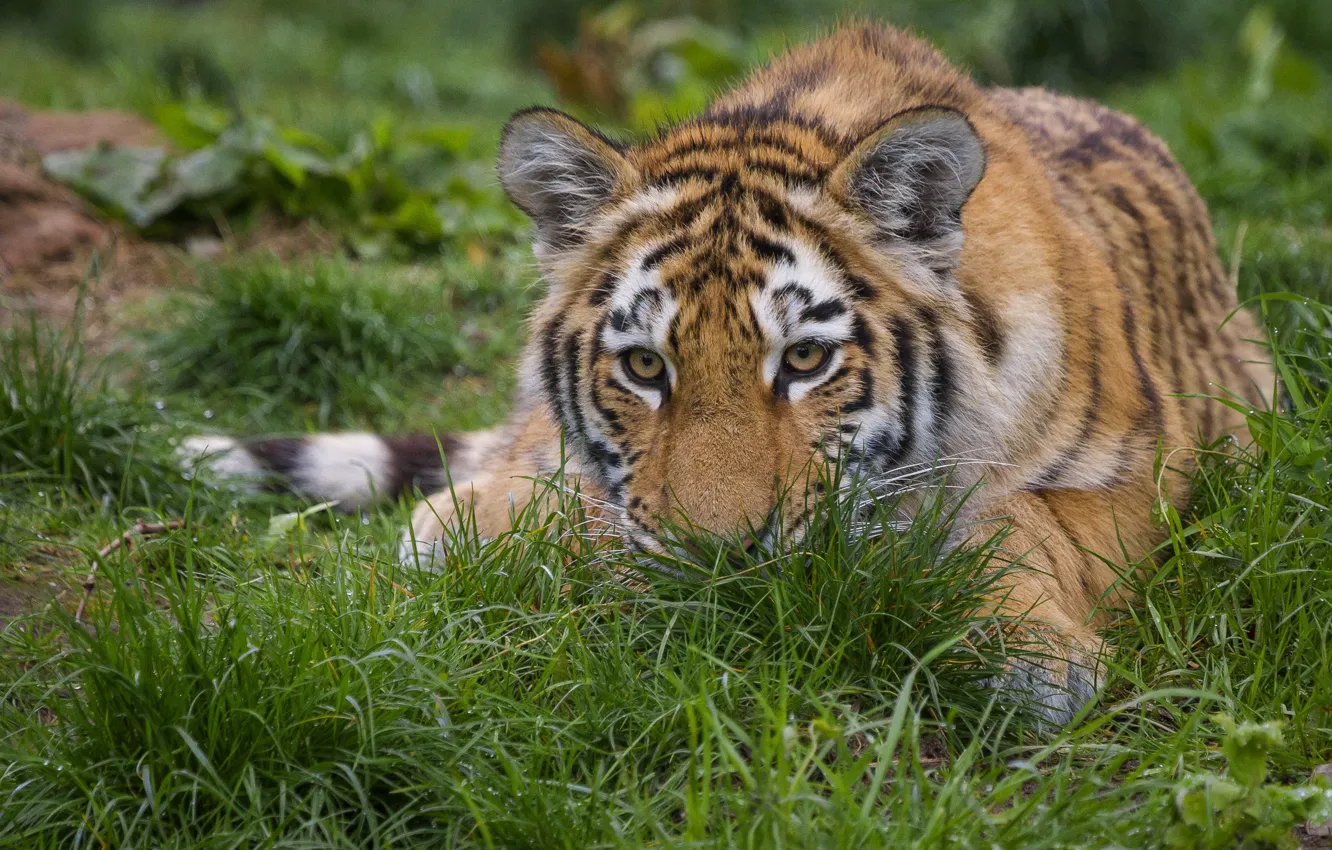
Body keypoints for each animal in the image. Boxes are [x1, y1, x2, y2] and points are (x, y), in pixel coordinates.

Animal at [184, 24, 1273, 724]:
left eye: (805, 360)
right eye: (643, 366)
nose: (719, 561)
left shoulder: (1138, 473)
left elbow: (1016, 520)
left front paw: (1036, 664)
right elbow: (578, 524)